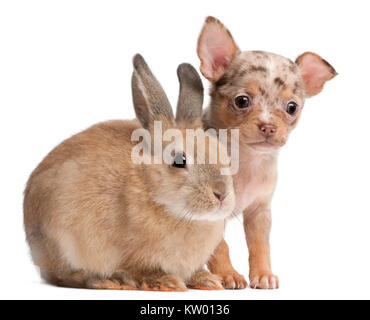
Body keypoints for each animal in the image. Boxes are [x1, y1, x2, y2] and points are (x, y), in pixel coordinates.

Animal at [23, 54, 236, 290]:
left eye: (224, 156)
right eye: (179, 161)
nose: (221, 195)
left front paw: (207, 280)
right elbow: (142, 270)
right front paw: (167, 283)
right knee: (66, 276)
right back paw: (109, 282)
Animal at [198, 16, 336, 288]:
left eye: (292, 107)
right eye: (242, 101)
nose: (269, 126)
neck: (246, 160)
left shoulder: (260, 212)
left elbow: (260, 245)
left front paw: (262, 274)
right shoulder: (209, 213)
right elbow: (220, 247)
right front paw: (228, 274)